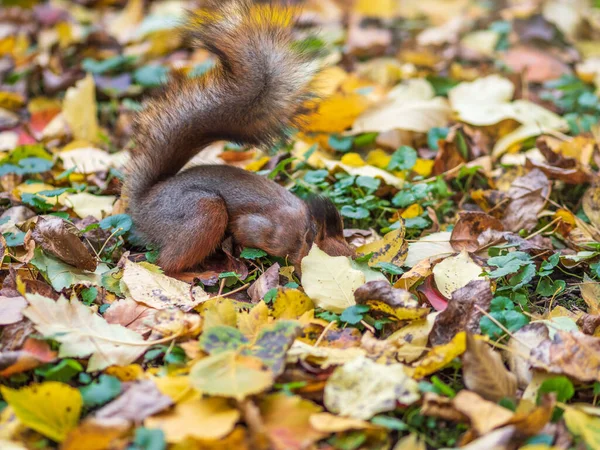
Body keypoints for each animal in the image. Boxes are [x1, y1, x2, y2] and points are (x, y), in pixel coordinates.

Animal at [123, 0, 354, 272]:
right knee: (166, 264)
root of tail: (143, 205)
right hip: (202, 213)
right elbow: (244, 232)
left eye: (355, 255)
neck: (301, 232)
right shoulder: (260, 227)